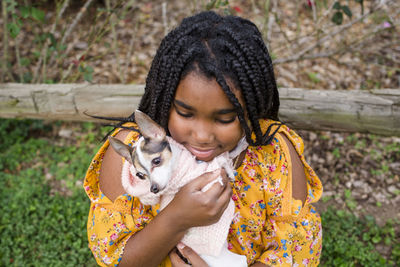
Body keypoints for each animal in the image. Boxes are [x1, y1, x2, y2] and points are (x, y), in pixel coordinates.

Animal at [108, 110, 248, 266]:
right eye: (140, 175)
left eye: (156, 161)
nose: (153, 189)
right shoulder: (209, 170)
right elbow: (222, 159)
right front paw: (229, 171)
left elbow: (227, 154)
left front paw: (241, 146)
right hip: (236, 261)